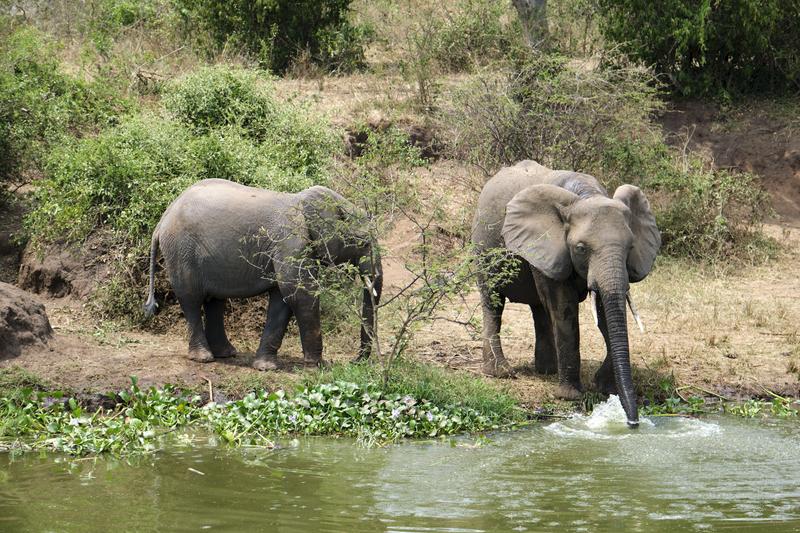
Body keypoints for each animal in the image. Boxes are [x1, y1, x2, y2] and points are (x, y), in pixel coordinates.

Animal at [142, 179, 382, 370]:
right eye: (364, 243)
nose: (355, 361)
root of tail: (163, 218)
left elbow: (282, 300)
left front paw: (266, 367)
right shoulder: (290, 243)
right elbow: (300, 294)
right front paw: (319, 365)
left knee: (214, 301)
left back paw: (227, 354)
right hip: (181, 251)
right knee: (191, 299)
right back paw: (204, 358)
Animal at [472, 160, 660, 426]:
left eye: (630, 247)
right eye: (580, 248)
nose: (633, 423)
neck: (587, 195)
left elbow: (604, 312)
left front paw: (607, 388)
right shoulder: (547, 243)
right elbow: (564, 307)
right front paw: (570, 396)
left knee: (539, 309)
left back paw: (547, 370)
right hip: (482, 245)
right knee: (493, 302)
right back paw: (501, 372)